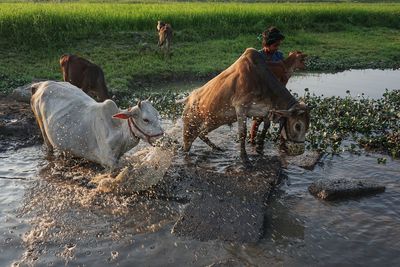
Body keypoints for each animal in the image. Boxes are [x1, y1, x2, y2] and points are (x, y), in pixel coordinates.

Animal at [180, 48, 310, 165]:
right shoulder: (240, 108)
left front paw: (259, 148)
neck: (261, 81)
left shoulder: (266, 110)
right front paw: (244, 158)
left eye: (307, 127)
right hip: (189, 129)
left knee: (202, 133)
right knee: (188, 145)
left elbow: (266, 126)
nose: (300, 151)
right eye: (298, 126)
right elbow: (243, 133)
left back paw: (217, 148)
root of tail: (188, 98)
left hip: (213, 121)